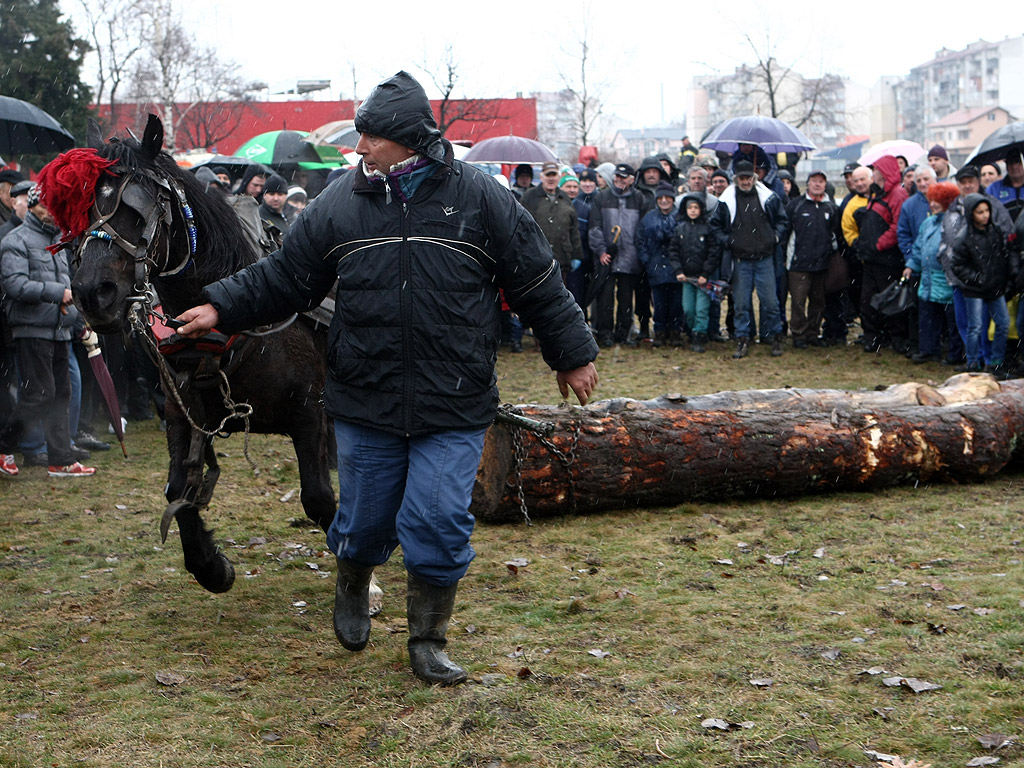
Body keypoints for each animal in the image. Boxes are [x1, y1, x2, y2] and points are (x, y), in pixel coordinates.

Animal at [72, 115, 335, 593]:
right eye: (85, 212)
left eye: (136, 212)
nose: (90, 293)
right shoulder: (182, 412)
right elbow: (181, 492)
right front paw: (212, 566)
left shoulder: (310, 411)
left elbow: (320, 497)